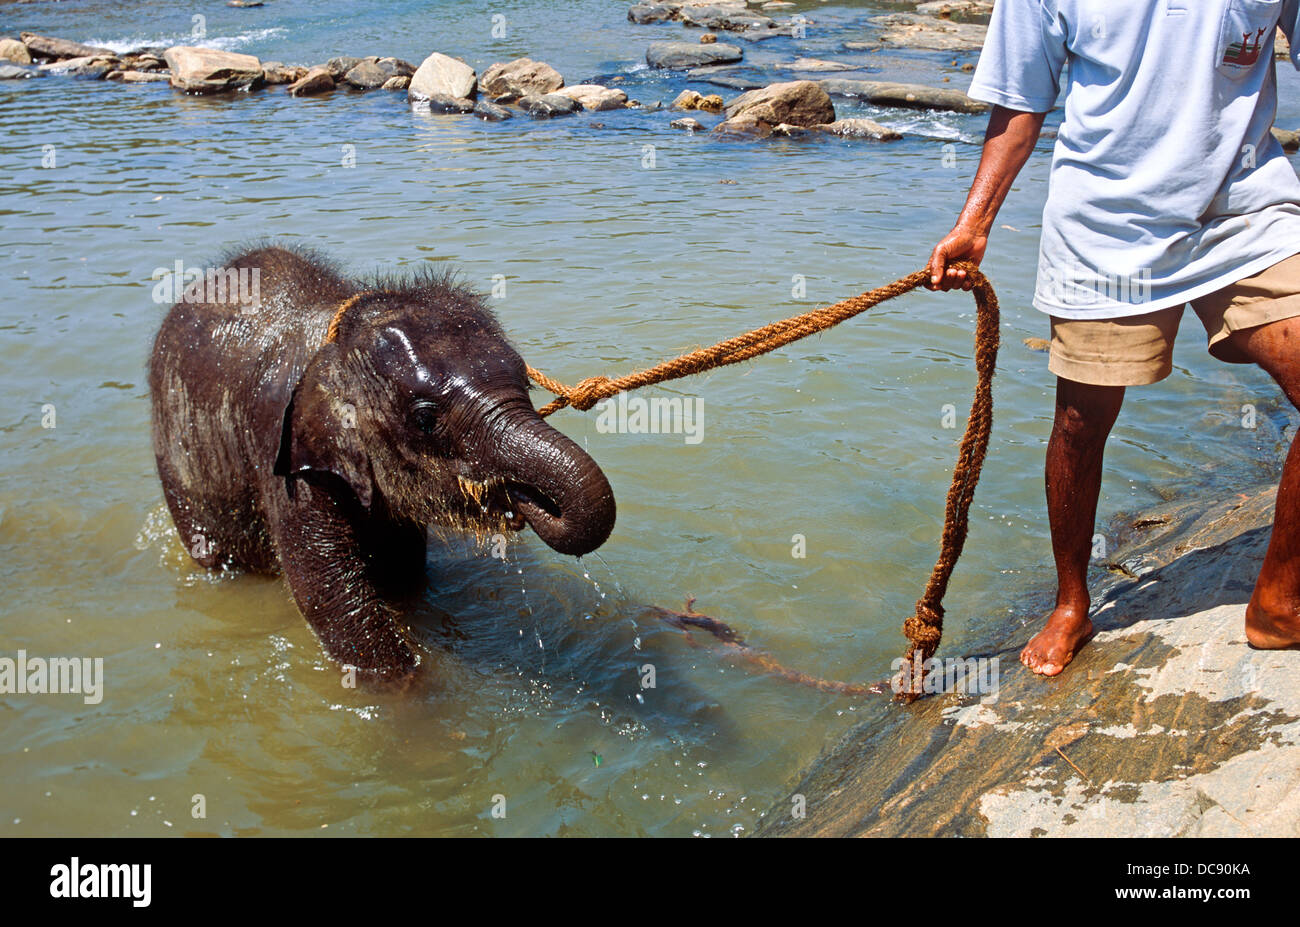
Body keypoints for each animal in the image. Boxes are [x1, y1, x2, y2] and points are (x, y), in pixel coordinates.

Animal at [149, 245, 616, 681]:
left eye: (526, 384)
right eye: (425, 420)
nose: (523, 496)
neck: (336, 346)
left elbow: (404, 570)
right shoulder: (283, 455)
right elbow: (330, 598)